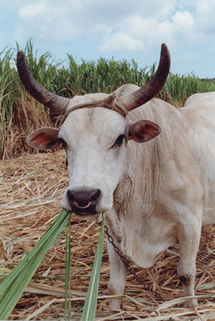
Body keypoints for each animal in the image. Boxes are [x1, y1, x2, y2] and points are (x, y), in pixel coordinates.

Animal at [16, 43, 215, 308]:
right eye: (63, 142)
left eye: (120, 138)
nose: (83, 197)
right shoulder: (113, 228)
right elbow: (115, 286)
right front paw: (113, 310)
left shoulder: (190, 224)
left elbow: (186, 275)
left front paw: (193, 308)